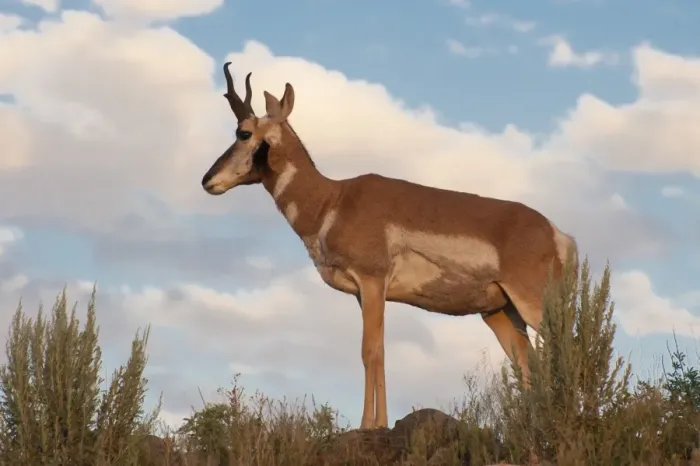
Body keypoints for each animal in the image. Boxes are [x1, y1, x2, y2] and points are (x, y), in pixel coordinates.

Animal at [201, 63, 578, 430]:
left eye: (243, 133)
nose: (207, 180)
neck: (332, 200)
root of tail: (557, 233)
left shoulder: (372, 281)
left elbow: (369, 351)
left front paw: (369, 425)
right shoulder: (365, 293)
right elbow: (379, 351)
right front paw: (379, 421)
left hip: (534, 304)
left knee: (564, 351)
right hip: (499, 312)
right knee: (527, 364)